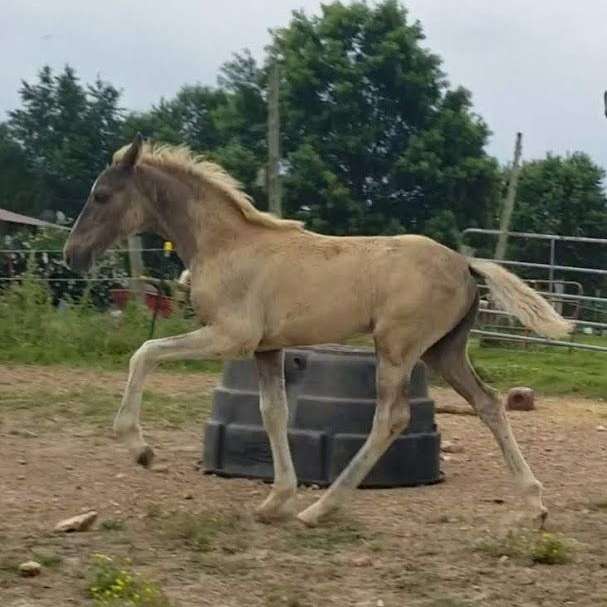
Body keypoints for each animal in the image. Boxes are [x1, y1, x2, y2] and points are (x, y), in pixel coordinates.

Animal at [64, 134, 572, 528]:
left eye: (101, 195)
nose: (72, 255)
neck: (226, 244)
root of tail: (465, 263)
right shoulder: (266, 349)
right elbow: (274, 413)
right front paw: (275, 499)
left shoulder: (232, 336)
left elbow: (145, 351)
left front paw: (139, 448)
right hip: (444, 352)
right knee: (488, 403)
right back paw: (534, 503)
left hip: (397, 349)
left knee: (391, 419)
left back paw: (321, 508)